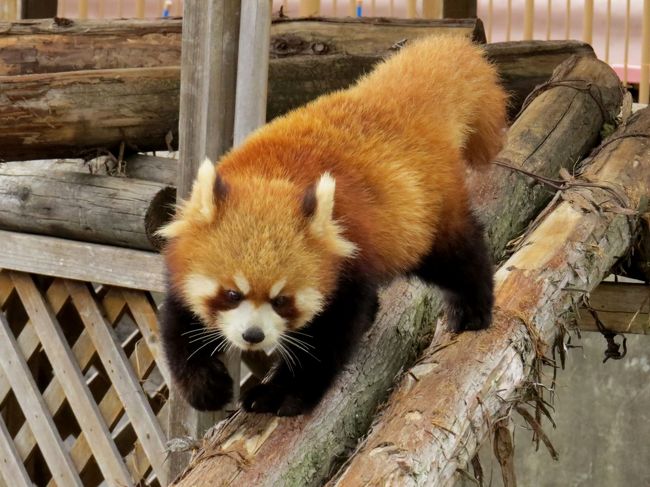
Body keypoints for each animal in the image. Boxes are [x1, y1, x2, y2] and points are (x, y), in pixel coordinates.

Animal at [157, 36, 506, 416]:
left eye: (282, 300)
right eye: (232, 294)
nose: (253, 336)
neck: (268, 179)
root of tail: (389, 103)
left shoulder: (347, 266)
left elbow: (326, 342)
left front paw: (284, 394)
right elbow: (178, 322)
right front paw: (205, 387)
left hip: (426, 217)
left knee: (457, 255)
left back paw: (473, 309)